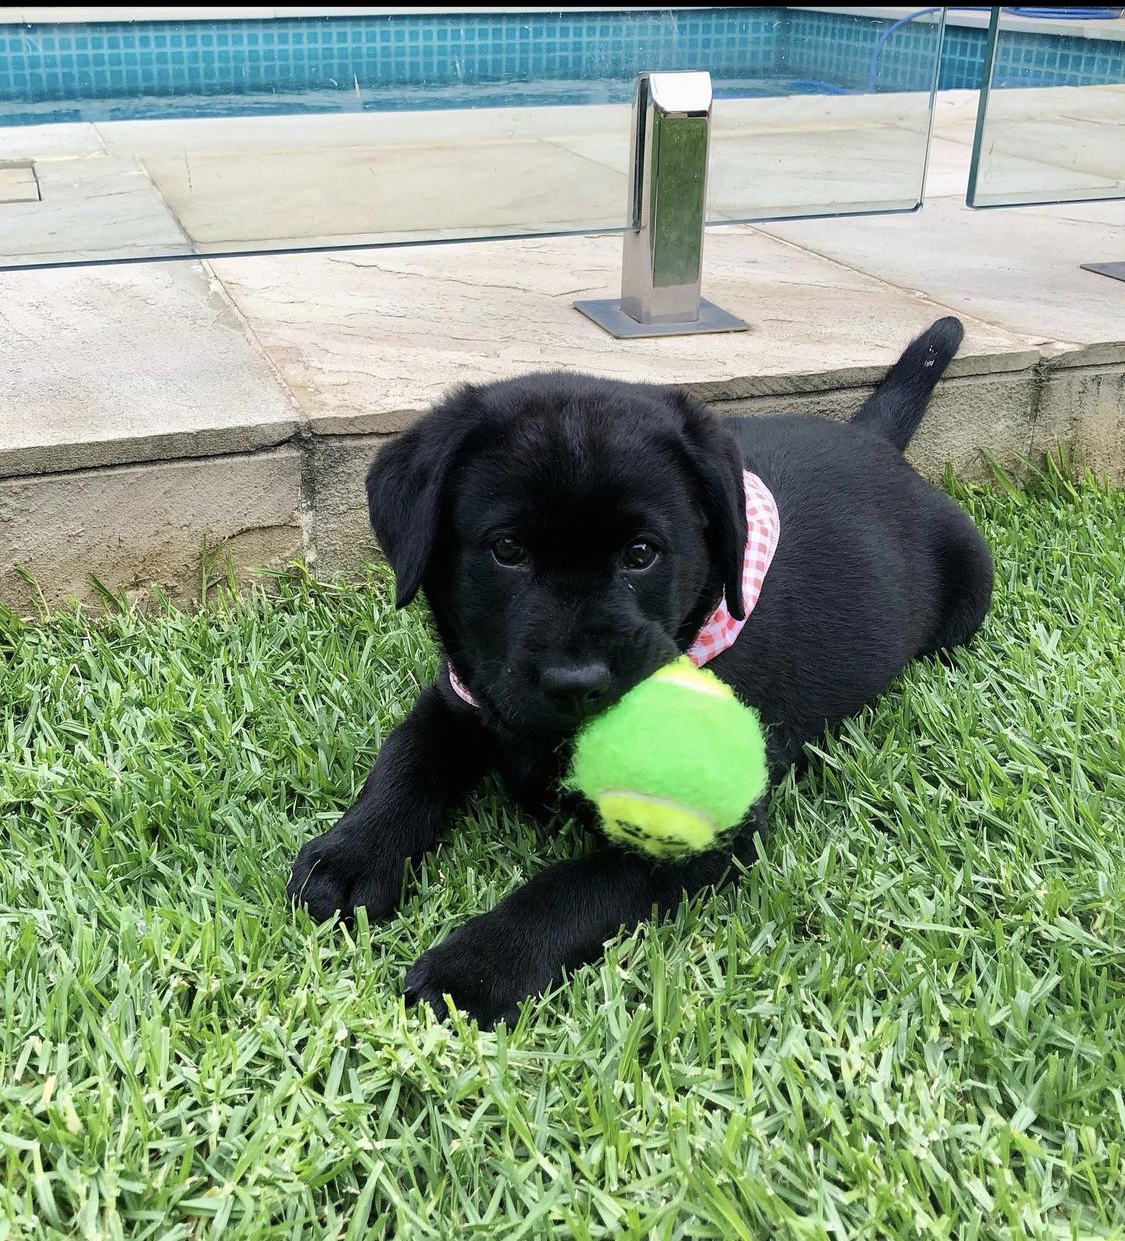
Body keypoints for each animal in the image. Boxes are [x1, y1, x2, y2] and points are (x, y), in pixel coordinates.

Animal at [287, 317, 992, 1027]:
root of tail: (873, 441)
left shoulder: (713, 825)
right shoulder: (460, 695)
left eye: (641, 553)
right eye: (507, 549)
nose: (577, 684)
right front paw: (349, 858)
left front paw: (478, 967)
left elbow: (577, 886)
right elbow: (406, 760)